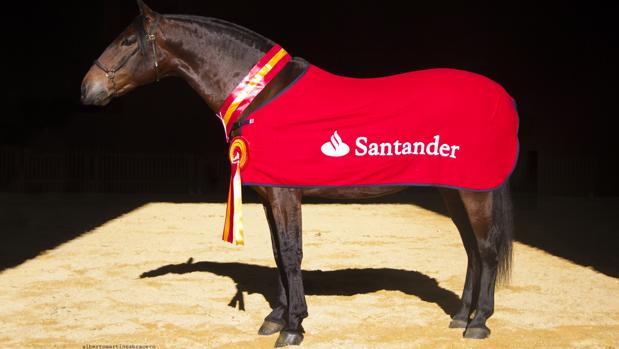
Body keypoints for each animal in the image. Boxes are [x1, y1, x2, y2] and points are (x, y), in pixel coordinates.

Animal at [81, 2, 512, 346]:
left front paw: (293, 326)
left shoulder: (286, 194)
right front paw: (276, 317)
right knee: (472, 250)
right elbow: (277, 253)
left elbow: (291, 253)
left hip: (474, 193)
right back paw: (460, 316)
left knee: (486, 250)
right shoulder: (269, 196)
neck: (262, 97)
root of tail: (499, 99)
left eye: (128, 42)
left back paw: (478, 322)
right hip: (452, 191)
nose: (88, 88)